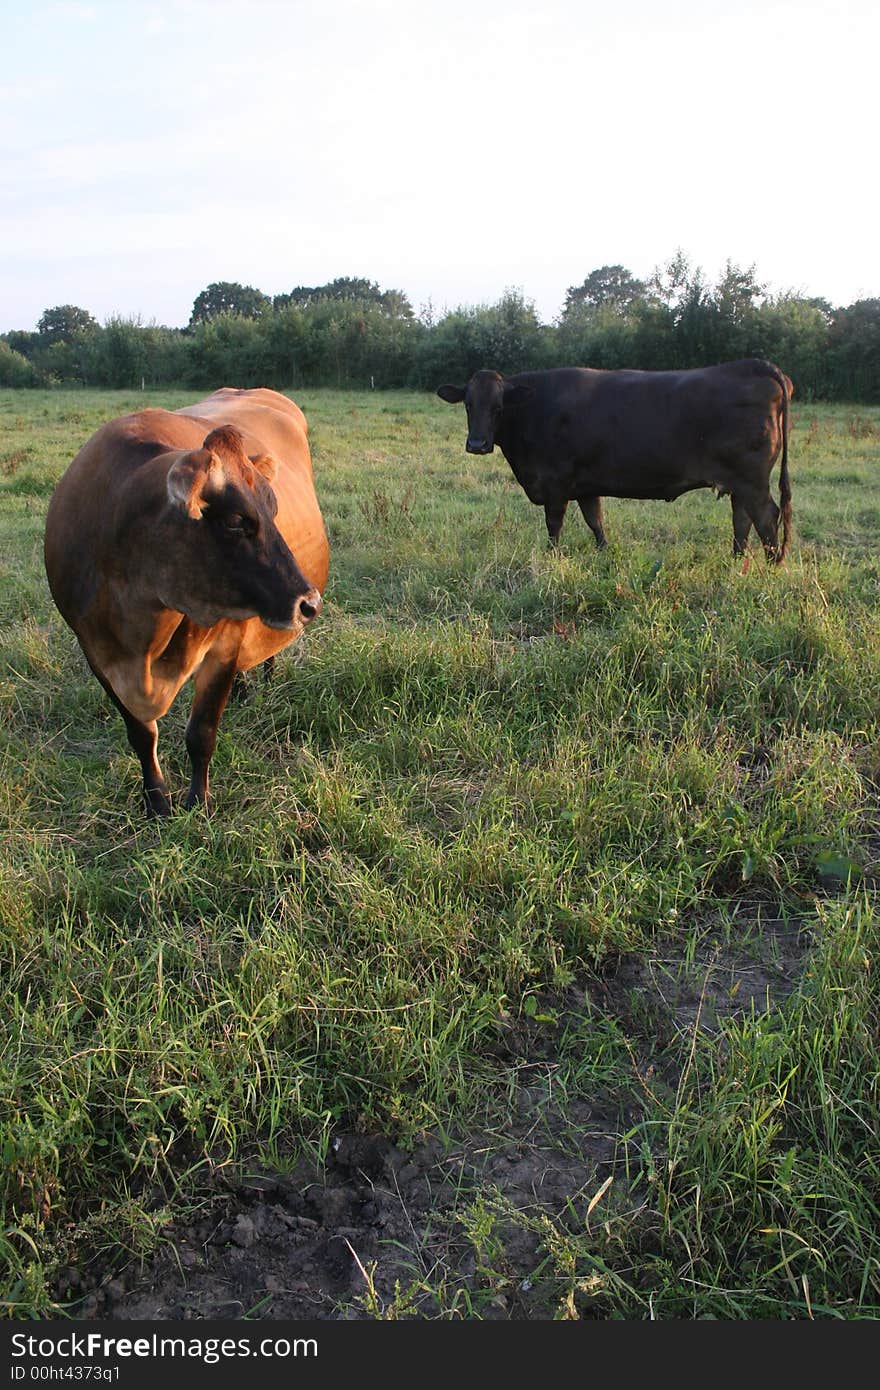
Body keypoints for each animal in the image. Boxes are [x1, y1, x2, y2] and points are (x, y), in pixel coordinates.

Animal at [43, 386, 329, 811]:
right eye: (236, 521)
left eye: (274, 510)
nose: (309, 602)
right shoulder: (95, 651)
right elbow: (141, 735)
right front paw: (157, 801)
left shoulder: (224, 643)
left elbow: (201, 733)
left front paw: (199, 802)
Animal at [436, 358, 795, 564]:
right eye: (468, 404)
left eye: (499, 407)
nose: (477, 444)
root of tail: (754, 365)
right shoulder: (585, 486)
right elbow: (596, 521)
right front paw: (604, 554)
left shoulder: (556, 484)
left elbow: (554, 525)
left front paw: (553, 558)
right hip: (738, 482)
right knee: (742, 520)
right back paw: (736, 561)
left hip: (752, 480)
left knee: (766, 517)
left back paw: (771, 566)